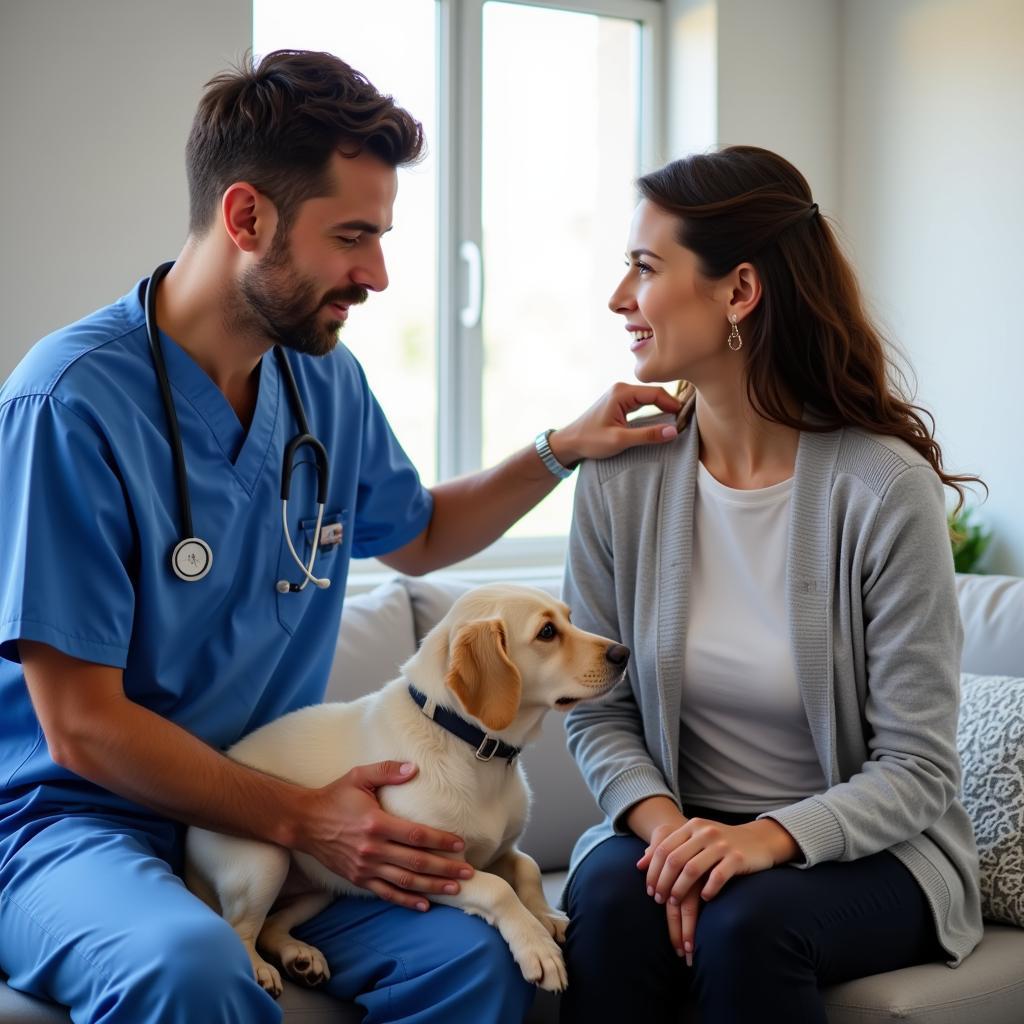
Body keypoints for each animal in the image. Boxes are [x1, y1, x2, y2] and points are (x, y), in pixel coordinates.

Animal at [187, 589, 626, 995]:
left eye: (570, 617)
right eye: (547, 632)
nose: (622, 653)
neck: (468, 745)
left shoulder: (499, 852)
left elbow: (529, 869)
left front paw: (546, 916)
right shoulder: (427, 868)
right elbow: (498, 890)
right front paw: (537, 946)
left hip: (318, 889)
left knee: (271, 926)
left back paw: (300, 955)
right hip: (266, 862)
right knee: (239, 928)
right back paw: (259, 969)